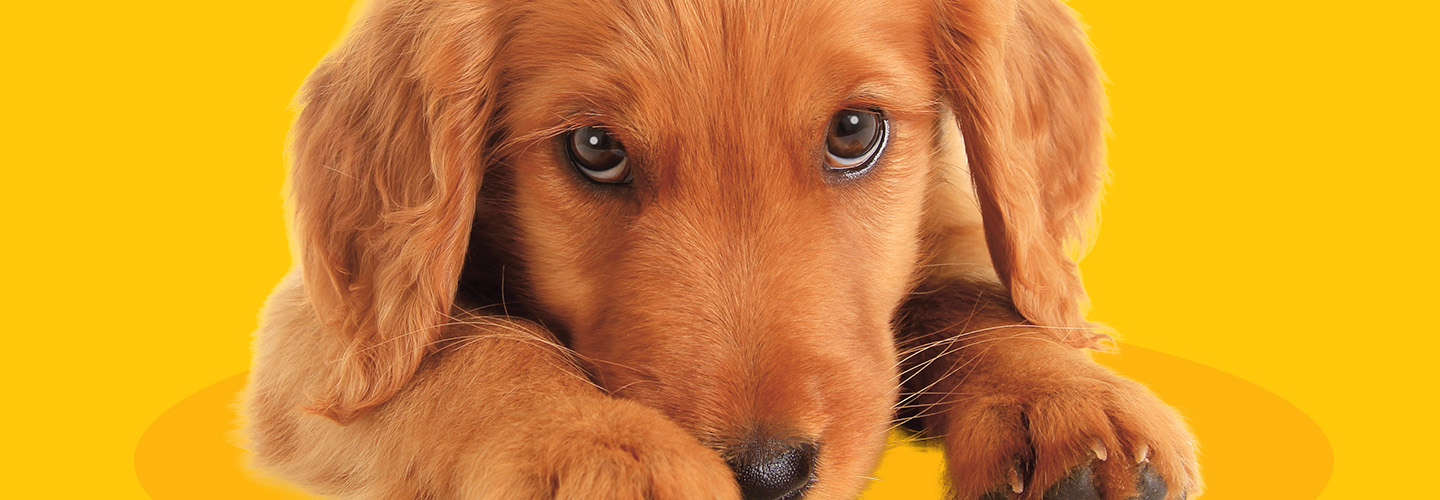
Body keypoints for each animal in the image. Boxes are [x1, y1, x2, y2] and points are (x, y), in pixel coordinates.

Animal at [244, 0, 1203, 500]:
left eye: (854, 131)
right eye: (595, 148)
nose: (768, 476)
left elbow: (972, 294)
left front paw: (1067, 403)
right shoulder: (323, 333)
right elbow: (467, 347)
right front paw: (602, 450)